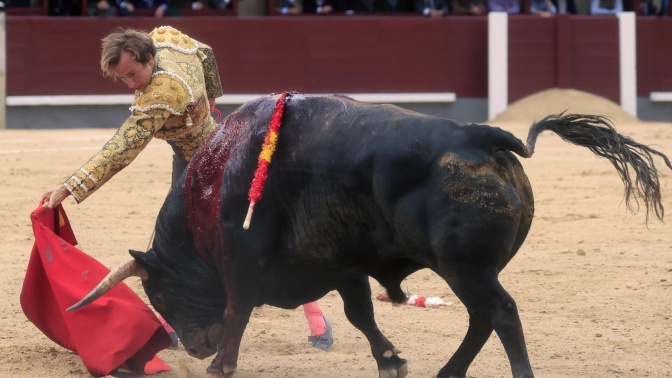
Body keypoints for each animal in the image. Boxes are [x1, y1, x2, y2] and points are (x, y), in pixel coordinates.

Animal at [69, 94, 672, 376]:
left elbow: (238, 309)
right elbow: (361, 314)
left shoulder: (239, 261)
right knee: (482, 317)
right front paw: (391, 360)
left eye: (158, 290)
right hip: (464, 271)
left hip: (464, 267)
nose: (194, 346)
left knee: (499, 313)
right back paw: (449, 371)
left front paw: (221, 365)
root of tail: (480, 135)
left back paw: (514, 373)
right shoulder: (342, 265)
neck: (215, 185)